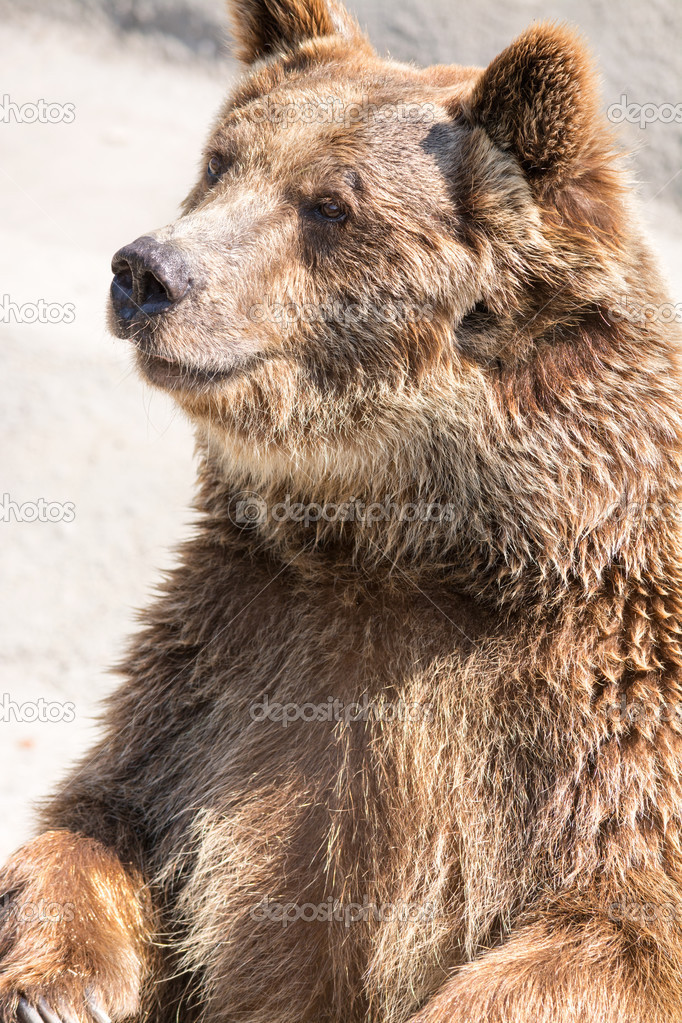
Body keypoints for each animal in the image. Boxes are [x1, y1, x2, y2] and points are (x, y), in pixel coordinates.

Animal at [1, 0, 682, 1018]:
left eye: (330, 202)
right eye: (221, 162)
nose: (147, 269)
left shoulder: (606, 714)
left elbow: (612, 927)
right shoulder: (228, 665)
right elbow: (107, 815)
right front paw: (58, 982)